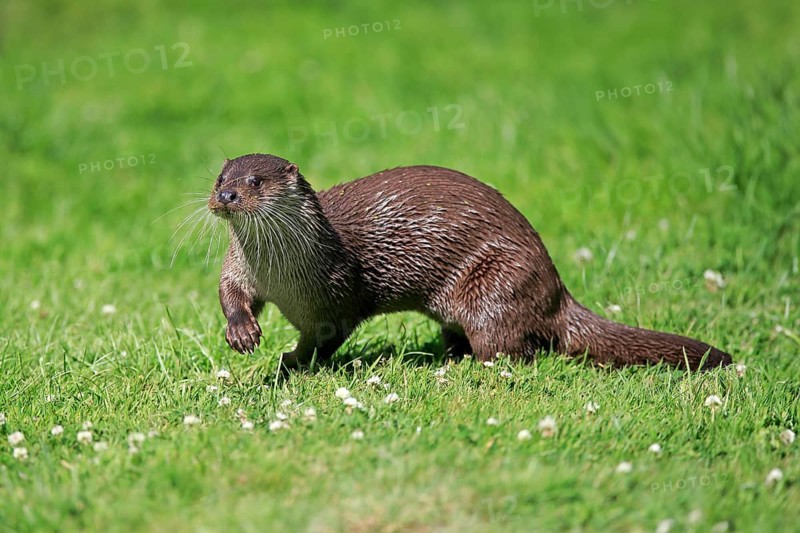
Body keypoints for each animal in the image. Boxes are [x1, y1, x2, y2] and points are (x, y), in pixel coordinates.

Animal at [207, 153, 732, 370]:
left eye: (256, 181)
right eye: (219, 178)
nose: (227, 196)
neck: (282, 275)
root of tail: (556, 288)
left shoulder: (336, 295)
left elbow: (324, 338)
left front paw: (289, 364)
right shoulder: (240, 268)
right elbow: (229, 292)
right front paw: (243, 332)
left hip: (497, 283)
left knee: (513, 350)